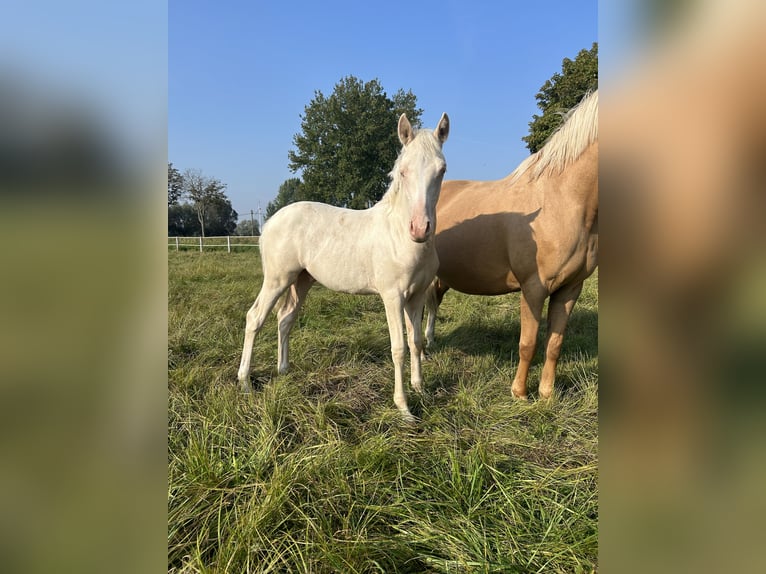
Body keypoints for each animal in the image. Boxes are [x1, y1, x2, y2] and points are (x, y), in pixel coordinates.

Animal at [237, 113, 448, 424]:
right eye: (403, 171)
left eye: (442, 170)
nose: (420, 228)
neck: (399, 235)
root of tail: (271, 221)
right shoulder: (392, 297)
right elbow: (398, 348)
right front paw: (404, 408)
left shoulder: (417, 296)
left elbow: (417, 342)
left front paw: (420, 390)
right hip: (277, 279)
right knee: (255, 318)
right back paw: (244, 381)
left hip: (301, 280)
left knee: (285, 318)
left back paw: (284, 370)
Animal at [426, 92, 600, 402]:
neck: (563, 200)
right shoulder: (534, 287)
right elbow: (528, 343)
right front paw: (519, 393)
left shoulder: (571, 288)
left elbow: (554, 343)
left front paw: (546, 394)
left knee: (433, 302)